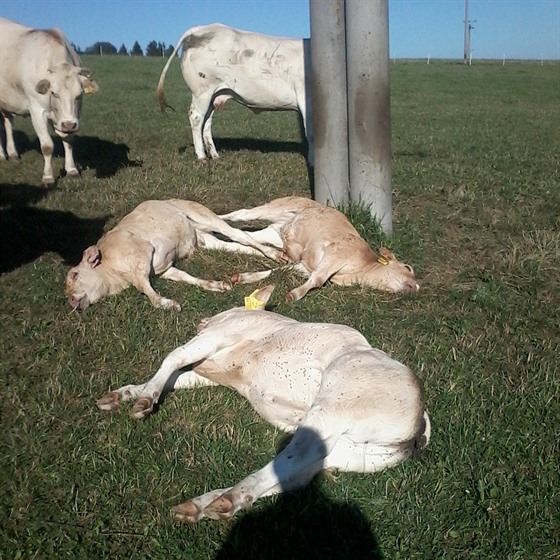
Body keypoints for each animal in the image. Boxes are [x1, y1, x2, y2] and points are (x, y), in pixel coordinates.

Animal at [0, 18, 98, 186]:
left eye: (79, 95)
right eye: (54, 93)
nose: (69, 125)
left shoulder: (73, 115)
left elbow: (68, 141)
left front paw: (72, 170)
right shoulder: (36, 110)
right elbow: (47, 146)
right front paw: (48, 177)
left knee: (7, 122)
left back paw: (12, 154)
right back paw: (1, 155)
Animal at [66, 199, 284, 310]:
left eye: (75, 275)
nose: (71, 300)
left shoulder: (142, 253)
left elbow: (143, 286)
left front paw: (166, 303)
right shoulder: (163, 269)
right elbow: (185, 277)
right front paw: (215, 285)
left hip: (203, 215)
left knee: (240, 235)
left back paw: (274, 253)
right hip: (204, 237)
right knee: (236, 245)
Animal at [97, 286, 428, 524]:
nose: (200, 320)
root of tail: (419, 426)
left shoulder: (218, 335)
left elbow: (174, 357)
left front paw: (144, 400)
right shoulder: (210, 371)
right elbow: (177, 378)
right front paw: (124, 394)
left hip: (333, 407)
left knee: (295, 456)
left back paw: (226, 499)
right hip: (346, 453)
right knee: (293, 476)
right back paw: (204, 505)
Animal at [156, 24, 310, 164]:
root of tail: (201, 28)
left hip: (213, 95)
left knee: (207, 122)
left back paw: (214, 155)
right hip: (202, 91)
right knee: (196, 117)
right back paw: (202, 157)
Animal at [220, 197, 420, 302]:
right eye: (408, 268)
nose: (417, 286)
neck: (361, 269)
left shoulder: (305, 265)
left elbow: (278, 270)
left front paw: (242, 277)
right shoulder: (337, 254)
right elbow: (318, 280)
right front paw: (294, 294)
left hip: (272, 233)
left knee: (246, 235)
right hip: (277, 207)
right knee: (241, 214)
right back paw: (216, 217)